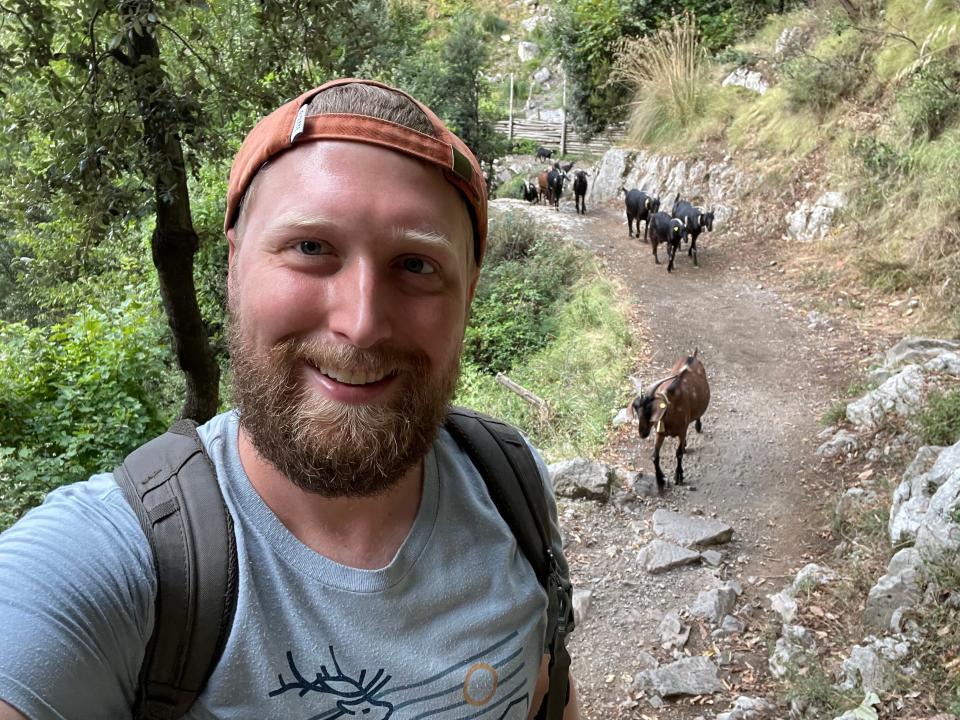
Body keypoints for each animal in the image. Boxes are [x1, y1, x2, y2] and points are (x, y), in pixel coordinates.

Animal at [632, 350, 712, 490]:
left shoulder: (682, 431)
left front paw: (678, 476)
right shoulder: (660, 432)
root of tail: (693, 356)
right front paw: (660, 479)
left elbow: (678, 453)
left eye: (651, 409)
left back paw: (698, 426)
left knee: (698, 416)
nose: (642, 433)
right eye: (636, 409)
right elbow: (655, 456)